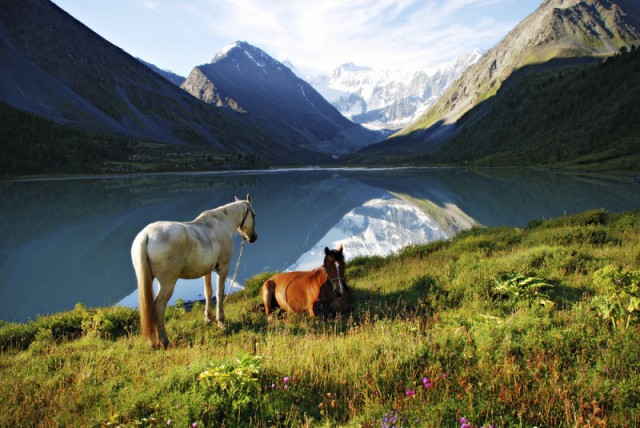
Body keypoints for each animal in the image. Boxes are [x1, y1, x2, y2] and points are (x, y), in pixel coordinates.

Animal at [131, 194, 258, 348]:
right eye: (254, 215)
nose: (253, 237)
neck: (221, 223)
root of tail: (146, 235)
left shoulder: (207, 271)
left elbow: (208, 292)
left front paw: (208, 318)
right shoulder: (222, 268)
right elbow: (219, 293)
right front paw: (221, 321)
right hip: (167, 284)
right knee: (158, 308)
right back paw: (165, 341)